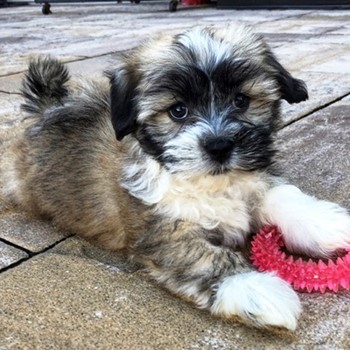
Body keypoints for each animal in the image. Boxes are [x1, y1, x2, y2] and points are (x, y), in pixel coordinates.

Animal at [0, 23, 350, 330]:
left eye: (241, 101)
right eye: (178, 111)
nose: (219, 145)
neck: (213, 183)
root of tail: (46, 111)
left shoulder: (254, 179)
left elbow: (281, 195)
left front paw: (326, 223)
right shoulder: (160, 233)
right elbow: (203, 257)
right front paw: (253, 287)